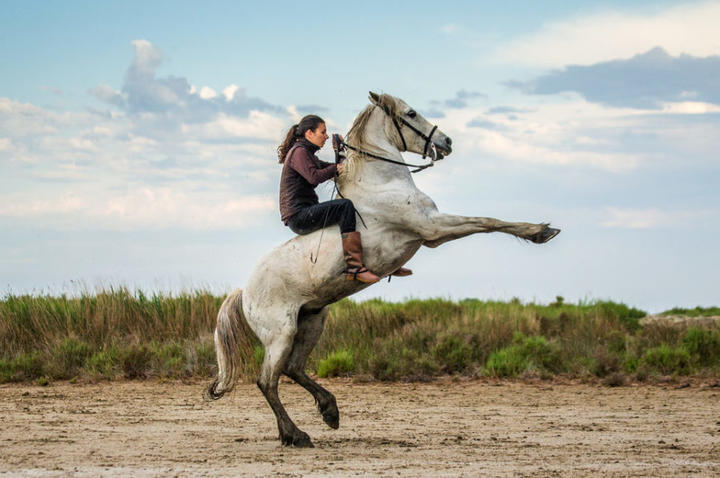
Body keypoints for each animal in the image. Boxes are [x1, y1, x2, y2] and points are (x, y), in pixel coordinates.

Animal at [205, 93, 560, 448]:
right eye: (411, 113)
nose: (446, 142)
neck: (381, 183)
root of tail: (244, 291)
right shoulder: (433, 229)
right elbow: (487, 221)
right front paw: (539, 231)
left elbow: (486, 221)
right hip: (281, 334)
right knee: (267, 381)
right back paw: (297, 434)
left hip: (312, 322)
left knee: (292, 369)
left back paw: (327, 413)